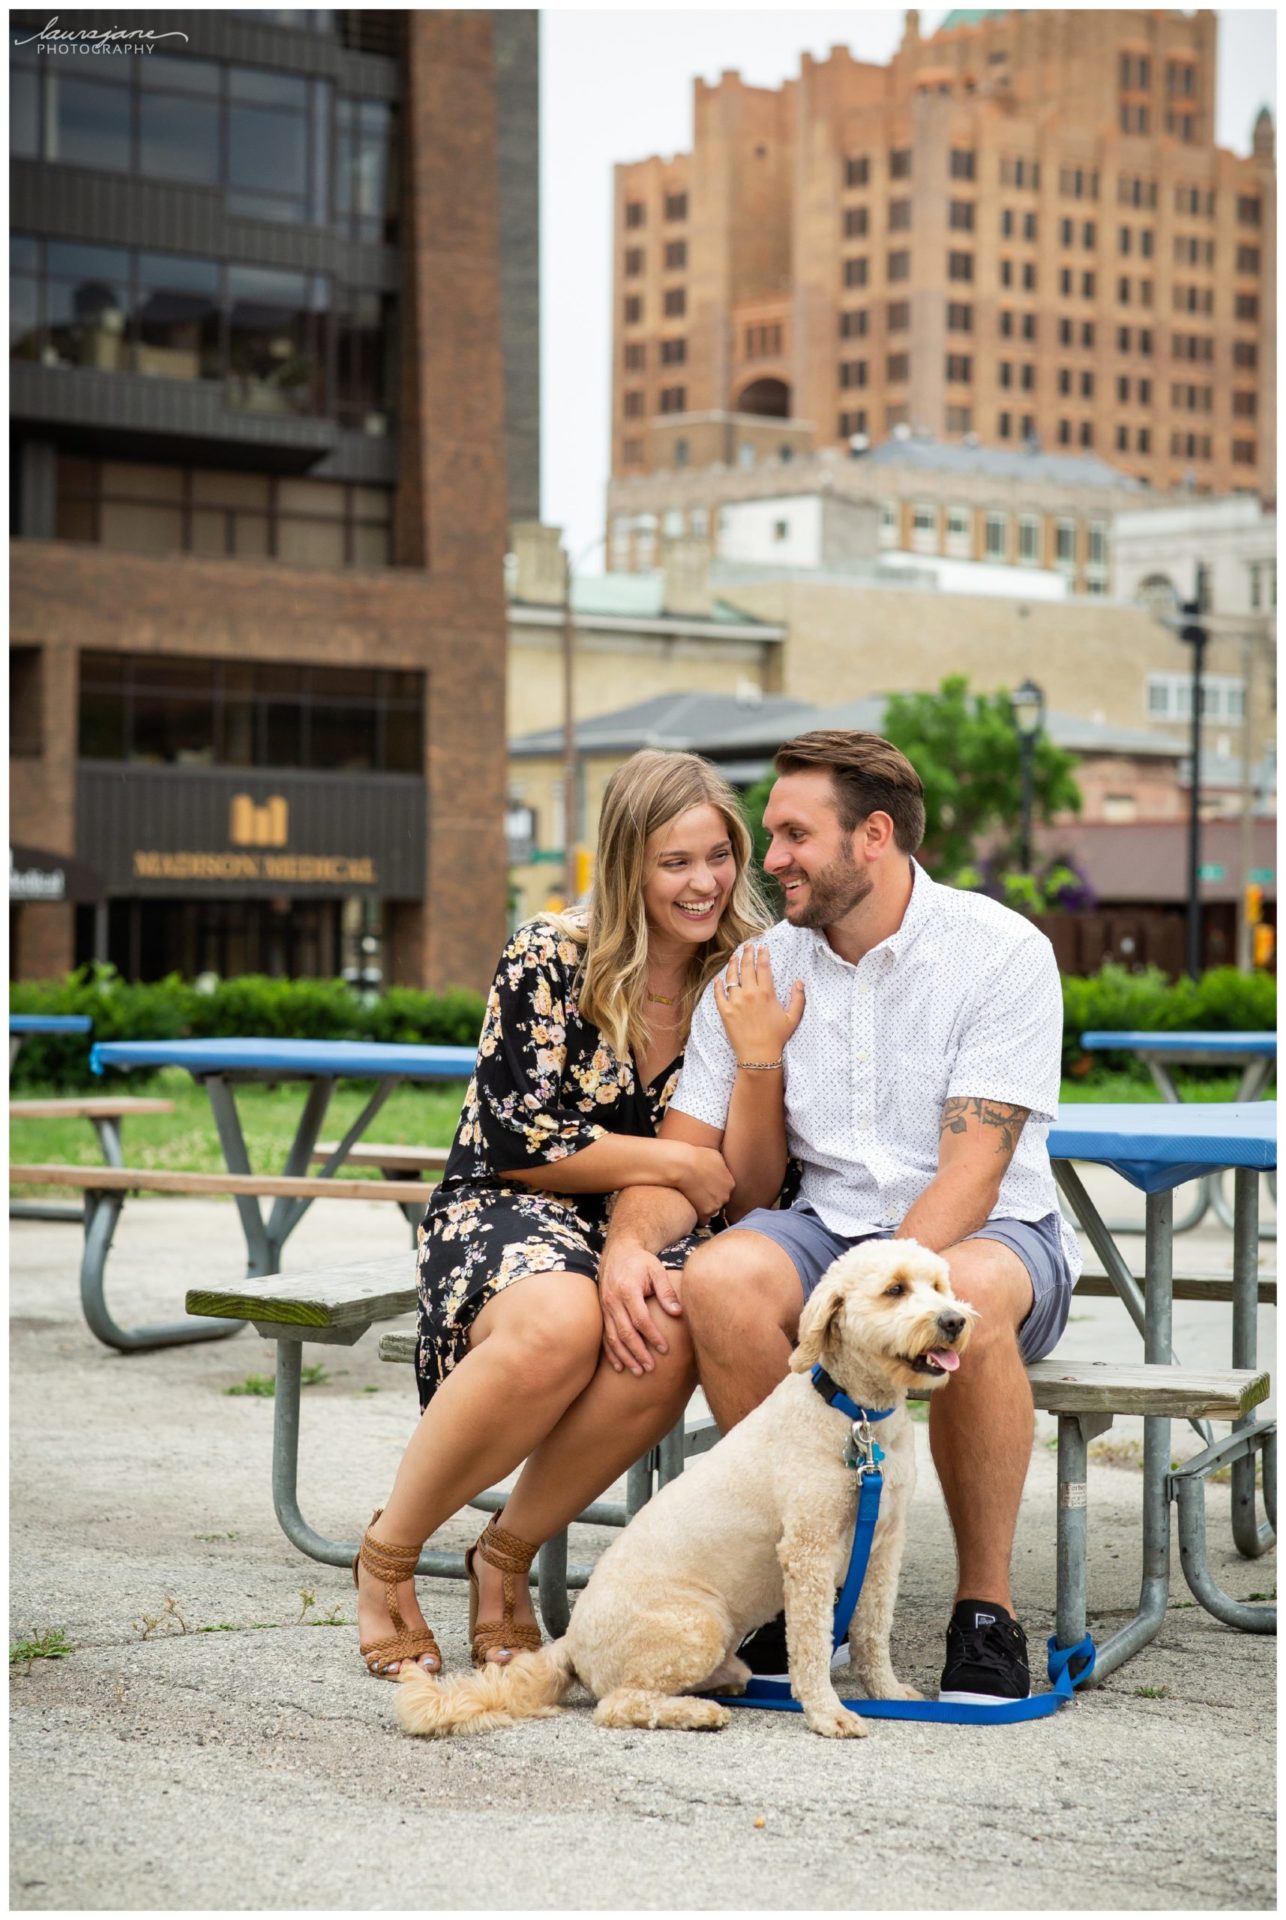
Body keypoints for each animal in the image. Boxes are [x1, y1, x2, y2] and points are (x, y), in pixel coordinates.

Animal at [397, 1236, 971, 1751]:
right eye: (895, 1289)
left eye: (940, 1285)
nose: (955, 1320)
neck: (856, 1415)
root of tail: (571, 1645)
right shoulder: (808, 1551)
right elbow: (811, 1644)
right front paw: (827, 1712)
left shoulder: (882, 1547)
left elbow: (873, 1631)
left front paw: (886, 1692)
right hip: (697, 1623)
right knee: (619, 1704)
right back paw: (697, 1712)